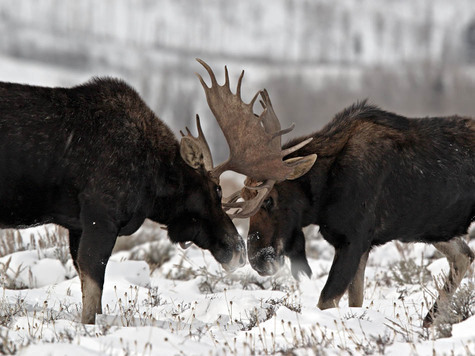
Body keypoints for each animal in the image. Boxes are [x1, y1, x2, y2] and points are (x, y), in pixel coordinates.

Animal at [0, 59, 286, 326]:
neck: (153, 184)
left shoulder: (76, 226)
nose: (238, 249)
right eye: (216, 189)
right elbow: (93, 294)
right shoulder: (100, 217)